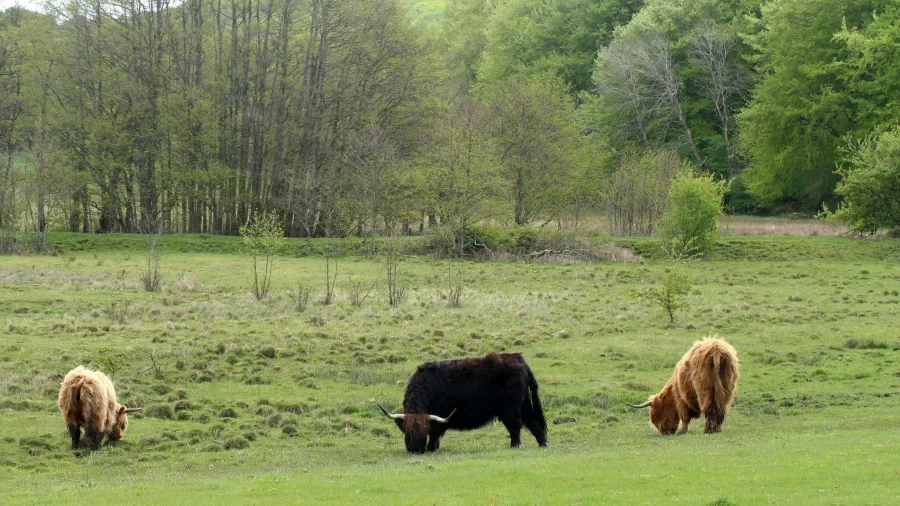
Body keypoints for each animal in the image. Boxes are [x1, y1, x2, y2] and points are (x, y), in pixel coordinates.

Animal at [376, 352, 544, 454]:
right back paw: (543, 444)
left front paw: (431, 448)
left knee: (515, 427)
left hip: (511, 409)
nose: (416, 450)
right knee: (533, 423)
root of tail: (519, 359)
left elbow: (435, 433)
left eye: (423, 432)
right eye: (408, 433)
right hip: (524, 405)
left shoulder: (440, 418)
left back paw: (515, 446)